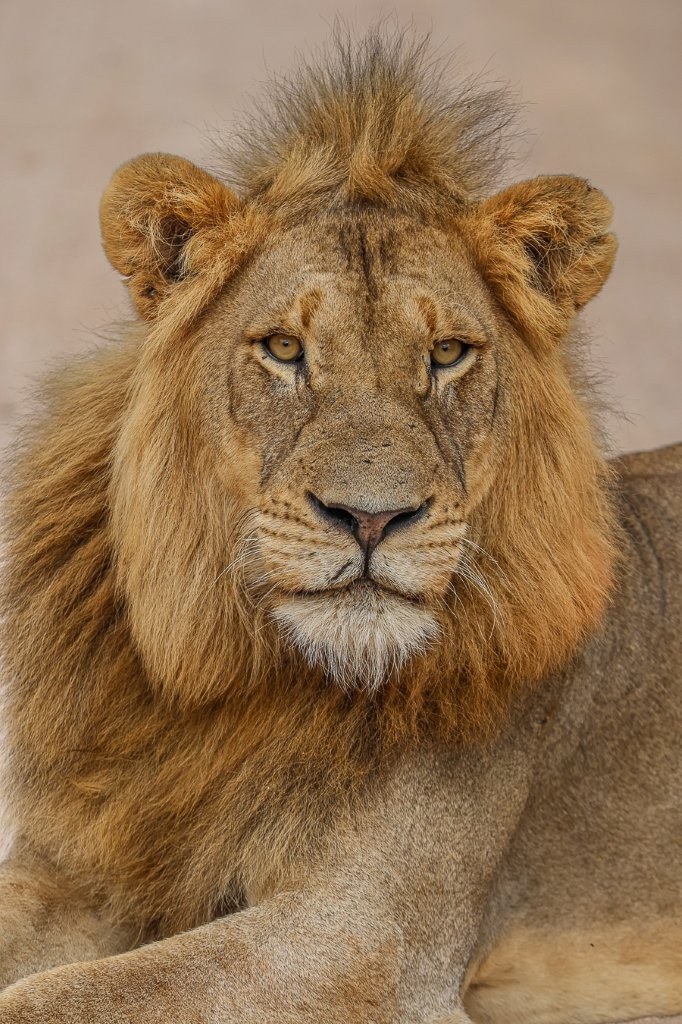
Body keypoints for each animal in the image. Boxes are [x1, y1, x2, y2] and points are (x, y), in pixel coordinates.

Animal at [0, 29, 680, 1024]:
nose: (372, 517)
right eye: (285, 348)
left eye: (447, 354)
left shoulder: (367, 935)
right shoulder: (81, 866)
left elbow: (66, 995)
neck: (239, 675)